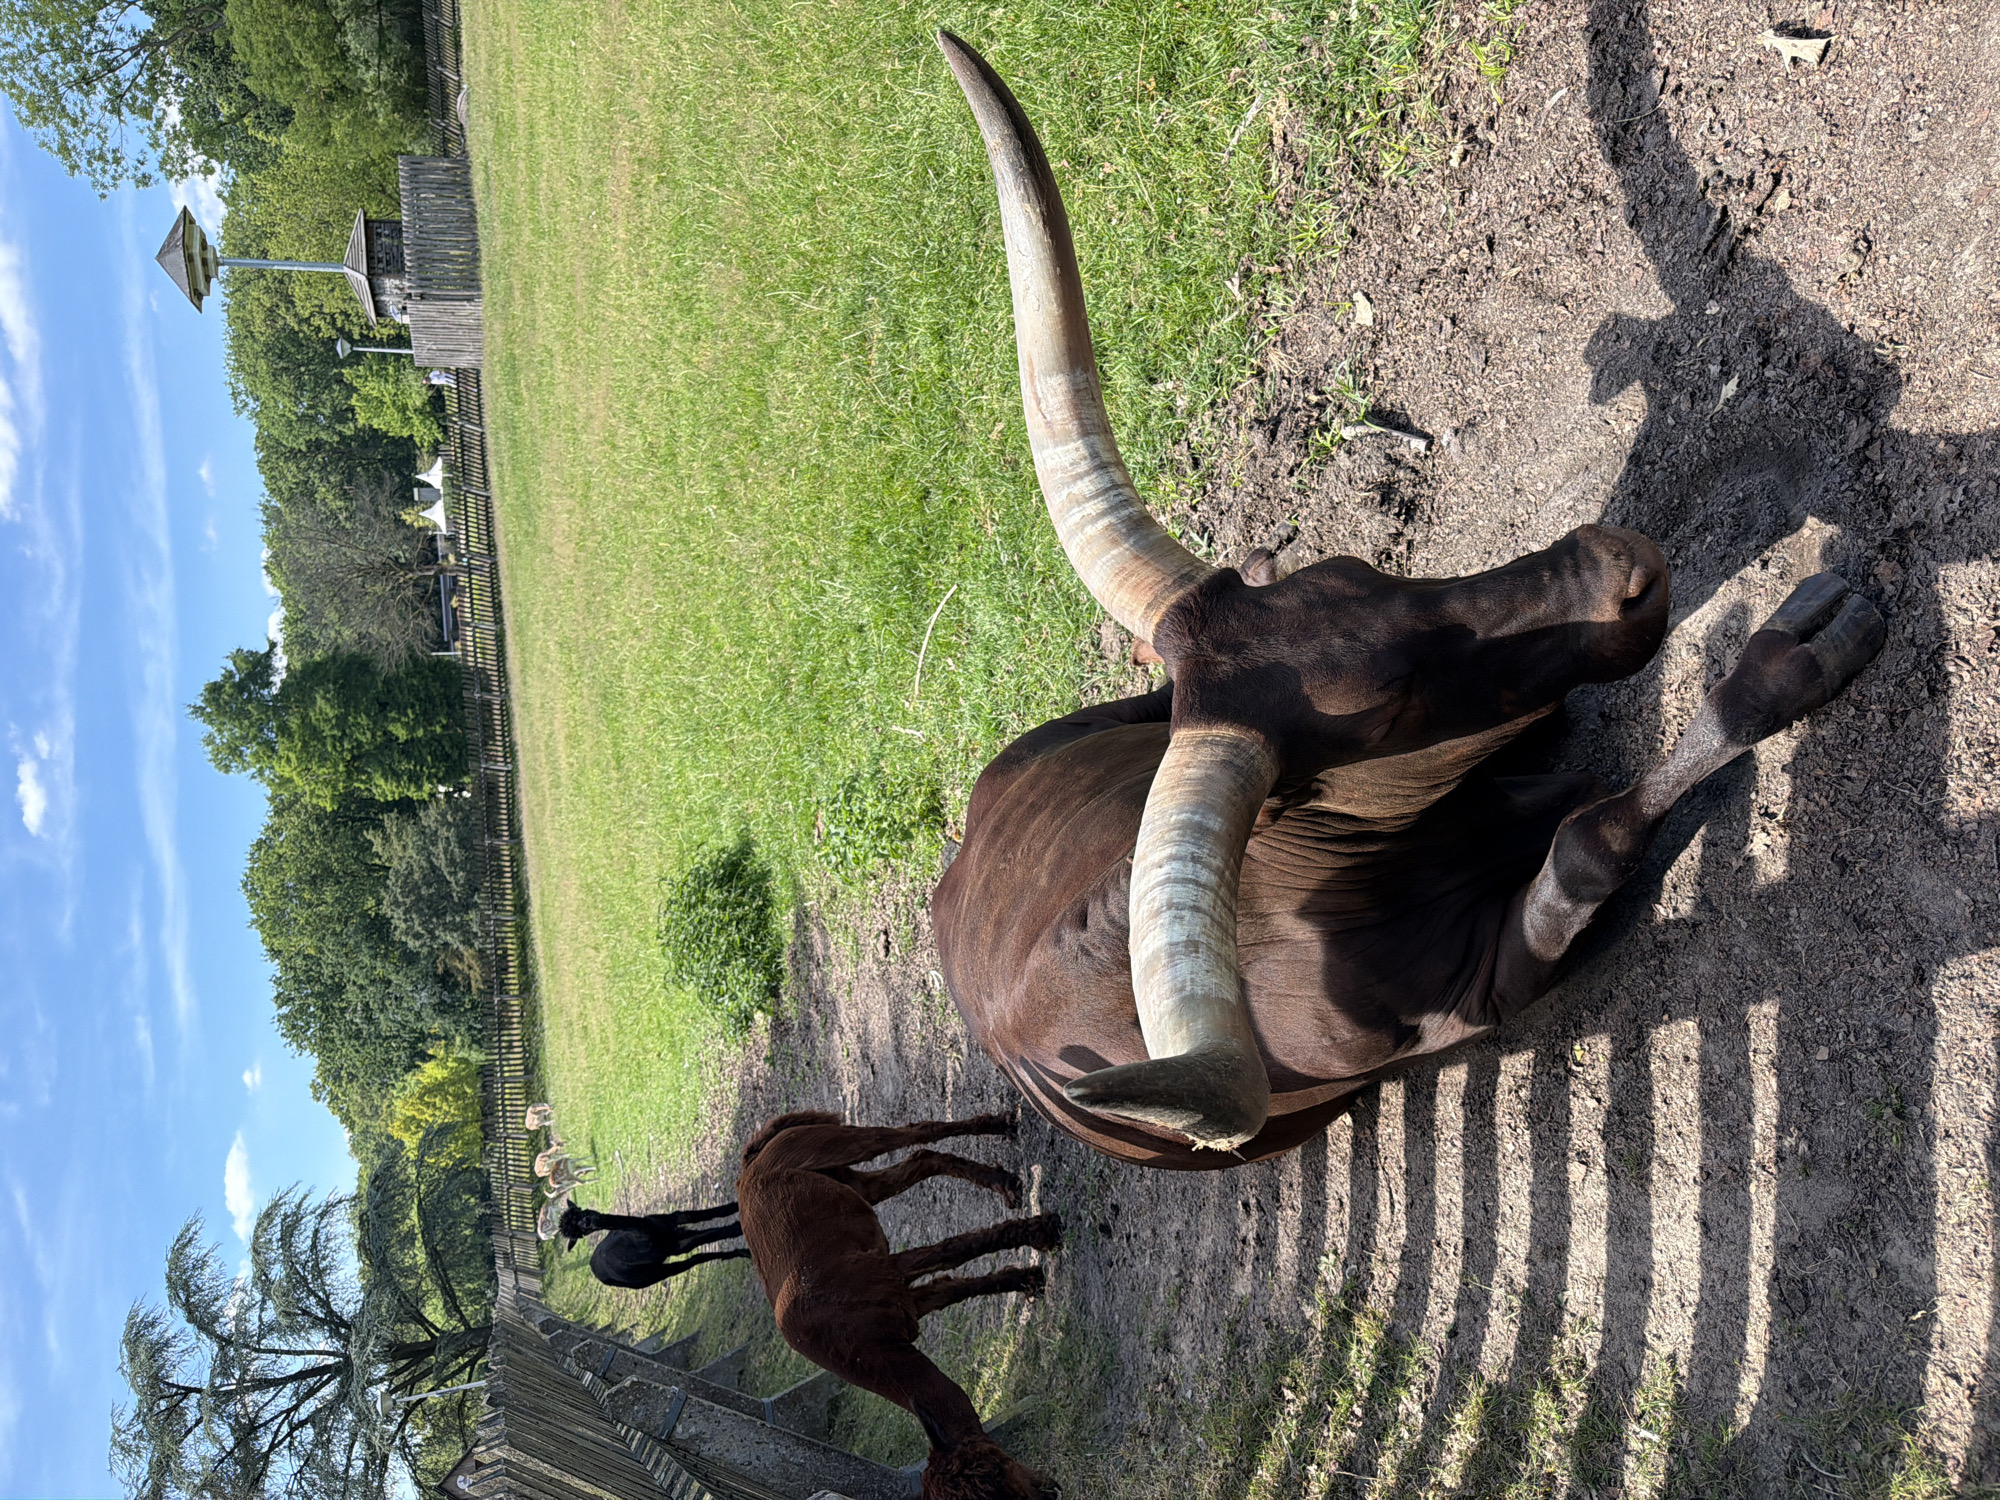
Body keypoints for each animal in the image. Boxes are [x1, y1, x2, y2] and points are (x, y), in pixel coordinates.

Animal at [735, 1111, 1062, 1499]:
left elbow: (954, 1250)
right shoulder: (906, 1304)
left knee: (910, 1135)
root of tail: (750, 1163)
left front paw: (1042, 1233)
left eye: (998, 1476)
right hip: (848, 1183)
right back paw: (1002, 1180)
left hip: (831, 1145)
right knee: (921, 1160)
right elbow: (954, 1284)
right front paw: (1027, 1278)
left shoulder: (885, 1274)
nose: (1052, 1491)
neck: (856, 1340)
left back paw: (999, 1127)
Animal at [927, 32, 1886, 1170]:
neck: (1326, 881)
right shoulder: (1490, 987)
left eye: (1360, 573)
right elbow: (1595, 837)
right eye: (1382, 707)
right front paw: (1807, 650)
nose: (1626, 566)